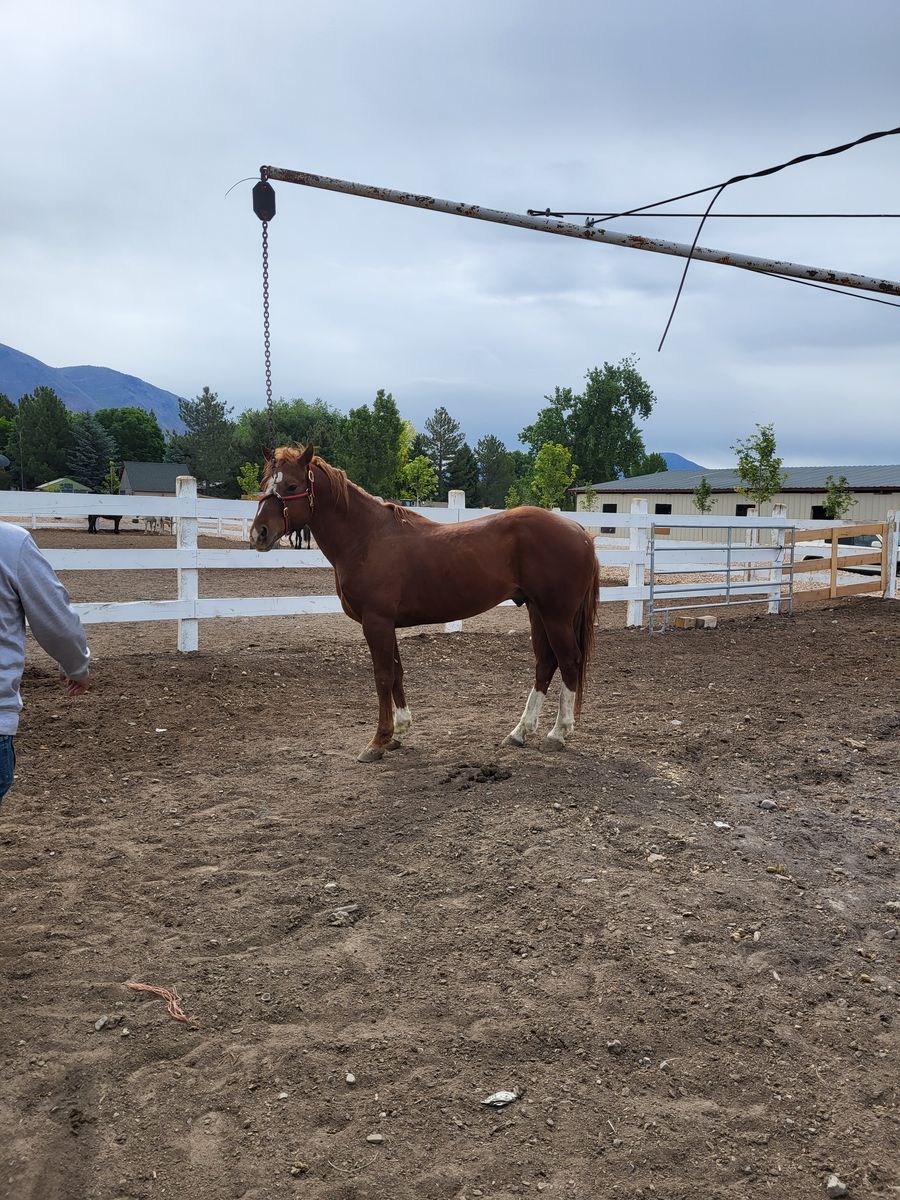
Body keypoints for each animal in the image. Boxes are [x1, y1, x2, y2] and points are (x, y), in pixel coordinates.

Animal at [249, 444, 600, 762]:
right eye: (266, 484)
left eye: (291, 486)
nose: (259, 534)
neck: (367, 539)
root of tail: (580, 531)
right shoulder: (386, 624)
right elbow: (397, 673)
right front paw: (399, 733)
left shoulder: (376, 622)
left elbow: (382, 676)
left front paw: (377, 741)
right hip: (537, 611)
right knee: (546, 663)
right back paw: (519, 732)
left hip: (556, 615)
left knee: (569, 661)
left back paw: (558, 734)